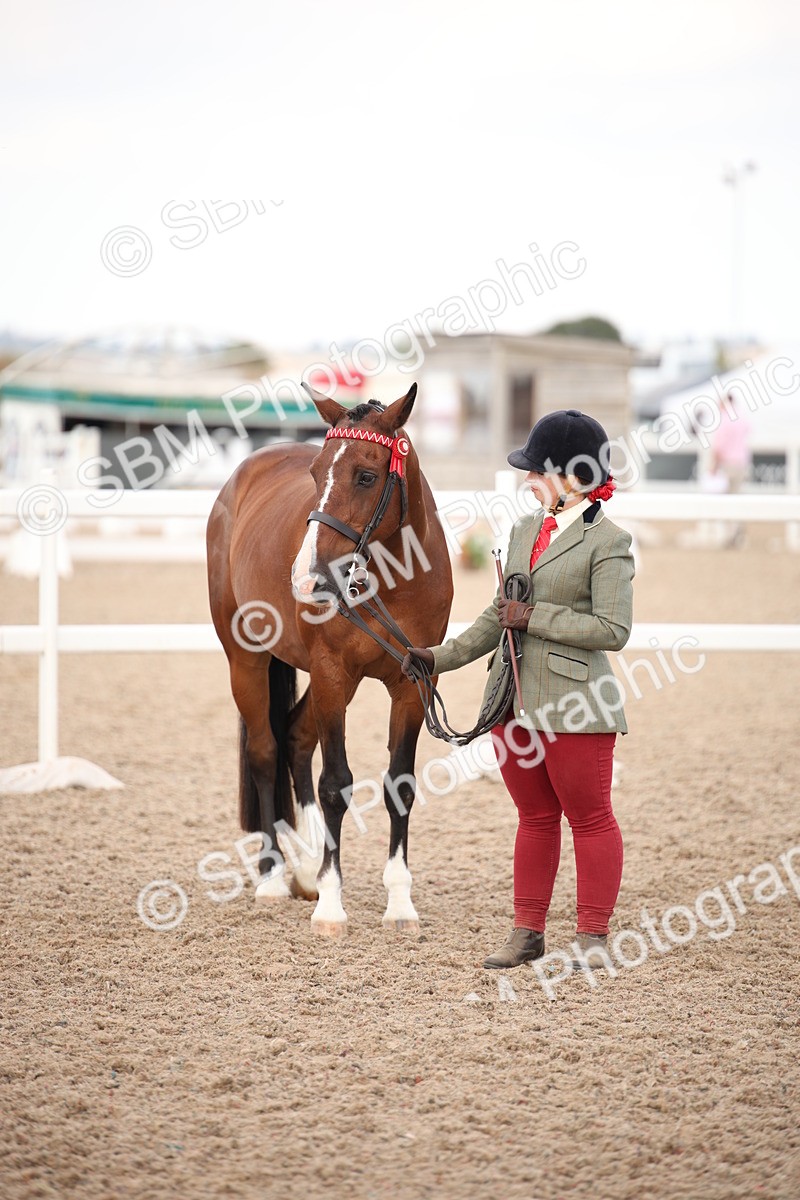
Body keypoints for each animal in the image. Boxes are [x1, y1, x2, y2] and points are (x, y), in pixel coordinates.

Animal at [206, 383, 453, 936]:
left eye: (366, 475)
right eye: (317, 473)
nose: (308, 577)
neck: (392, 578)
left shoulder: (409, 683)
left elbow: (400, 784)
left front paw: (399, 903)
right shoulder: (331, 674)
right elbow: (336, 784)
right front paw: (331, 906)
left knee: (297, 739)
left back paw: (305, 869)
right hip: (246, 661)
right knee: (266, 750)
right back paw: (275, 876)